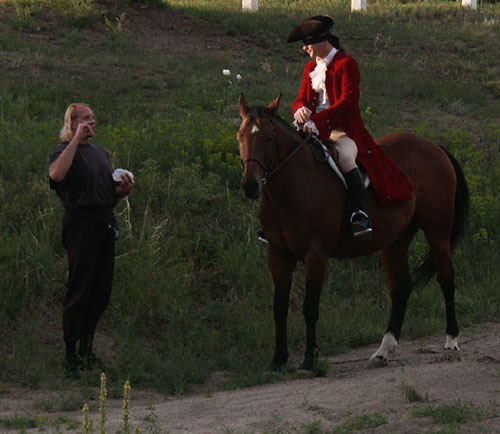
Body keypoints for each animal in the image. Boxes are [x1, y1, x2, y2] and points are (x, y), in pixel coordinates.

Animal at [237, 92, 468, 370]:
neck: (291, 189)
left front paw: (310, 359)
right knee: (401, 288)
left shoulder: (316, 254)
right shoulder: (278, 255)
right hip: (396, 240)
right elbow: (279, 307)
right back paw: (383, 351)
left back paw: (451, 343)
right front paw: (278, 360)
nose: (250, 186)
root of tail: (435, 148)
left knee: (446, 280)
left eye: (270, 138)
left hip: (438, 231)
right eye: (240, 136)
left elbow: (310, 307)